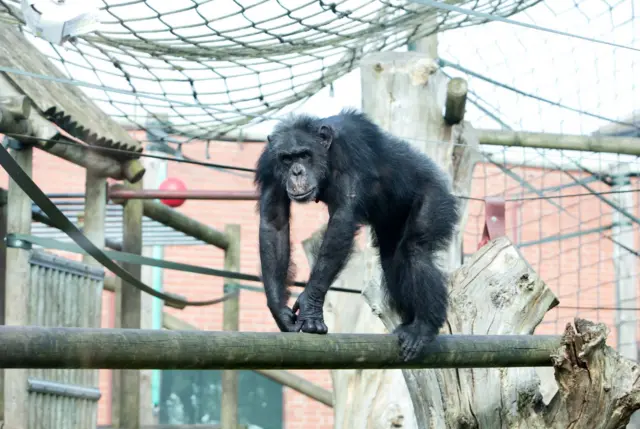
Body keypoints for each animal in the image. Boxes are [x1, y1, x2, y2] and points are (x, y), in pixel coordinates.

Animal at [255, 108, 460, 360]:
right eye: (286, 159)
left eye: (303, 155)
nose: (296, 171)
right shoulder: (268, 166)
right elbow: (274, 224)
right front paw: (279, 310)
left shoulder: (352, 150)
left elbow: (343, 217)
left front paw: (310, 307)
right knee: (392, 260)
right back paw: (408, 323)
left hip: (435, 195)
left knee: (415, 250)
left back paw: (423, 326)